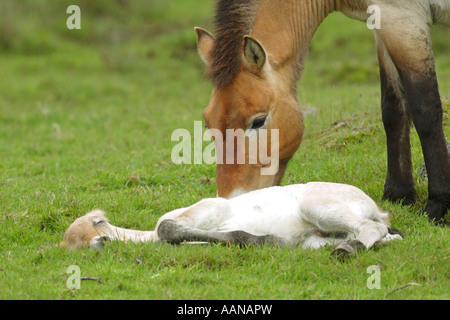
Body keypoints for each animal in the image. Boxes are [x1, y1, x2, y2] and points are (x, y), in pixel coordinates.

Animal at [195, 0, 448, 225]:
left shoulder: (402, 19)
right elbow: (394, 109)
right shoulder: (385, 26)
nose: (229, 201)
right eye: (208, 123)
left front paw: (437, 207)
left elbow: (425, 111)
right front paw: (399, 195)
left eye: (258, 121)